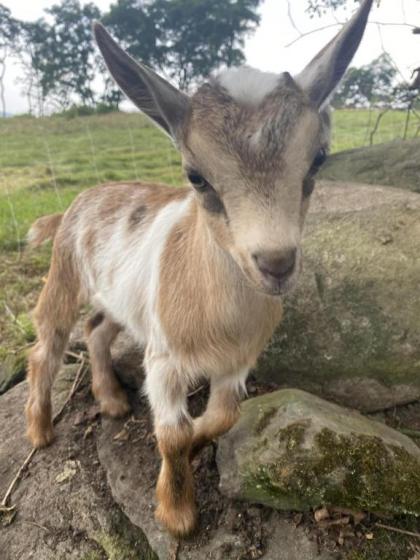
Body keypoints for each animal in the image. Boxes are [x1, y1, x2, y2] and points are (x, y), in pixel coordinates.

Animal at [24, 1, 372, 540]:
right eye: (196, 176)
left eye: (317, 160)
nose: (275, 263)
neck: (222, 318)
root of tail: (75, 204)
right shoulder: (165, 360)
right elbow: (171, 433)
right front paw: (176, 514)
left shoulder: (237, 360)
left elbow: (224, 417)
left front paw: (198, 446)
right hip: (63, 276)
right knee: (47, 345)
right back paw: (40, 431)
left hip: (120, 298)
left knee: (97, 329)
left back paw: (112, 401)